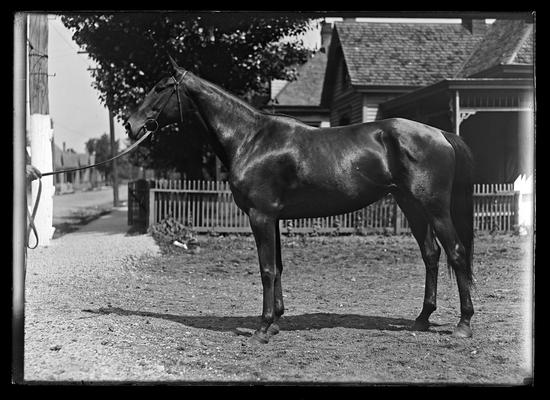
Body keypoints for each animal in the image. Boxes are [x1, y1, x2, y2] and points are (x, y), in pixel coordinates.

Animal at [125, 56, 478, 344]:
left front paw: (262, 328)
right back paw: (422, 318)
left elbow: (266, 268)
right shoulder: (273, 218)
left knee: (457, 253)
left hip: (434, 208)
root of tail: (441, 134)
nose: (131, 125)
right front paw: (276, 322)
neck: (251, 140)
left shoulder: (261, 216)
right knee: (431, 255)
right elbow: (278, 267)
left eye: (160, 88)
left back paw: (463, 324)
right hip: (411, 206)